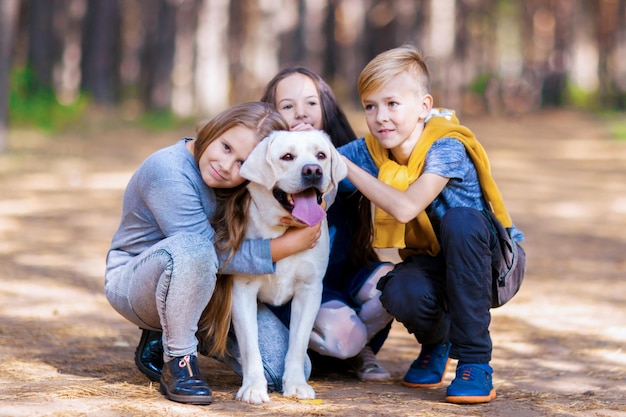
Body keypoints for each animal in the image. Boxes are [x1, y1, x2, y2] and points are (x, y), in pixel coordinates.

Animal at [230, 130, 346, 404]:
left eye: (321, 155)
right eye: (287, 157)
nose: (313, 170)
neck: (284, 230)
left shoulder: (309, 291)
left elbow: (298, 344)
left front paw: (296, 384)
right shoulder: (242, 291)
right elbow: (251, 347)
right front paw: (253, 387)